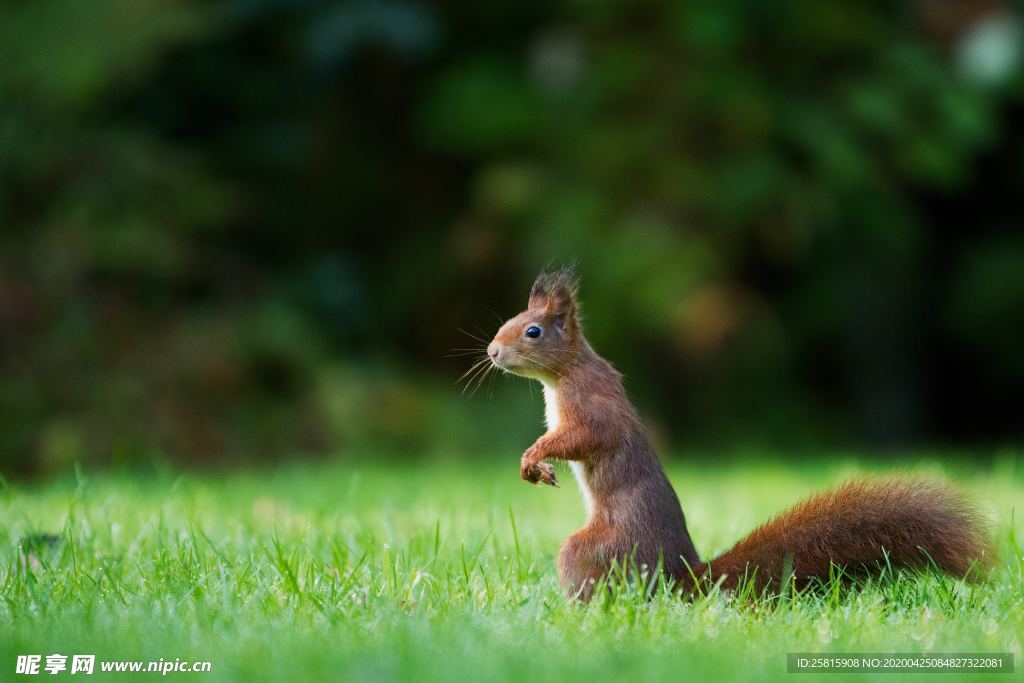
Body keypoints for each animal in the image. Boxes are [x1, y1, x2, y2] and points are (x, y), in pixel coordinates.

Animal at [487, 264, 991, 602]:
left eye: (532, 331)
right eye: (507, 323)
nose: (492, 351)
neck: (564, 373)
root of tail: (683, 577)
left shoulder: (592, 407)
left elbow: (586, 437)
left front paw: (533, 457)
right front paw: (537, 466)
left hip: (597, 550)